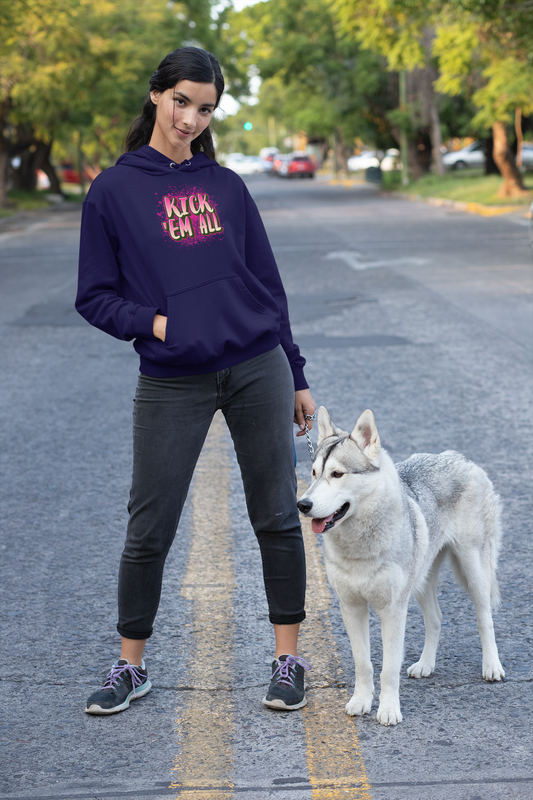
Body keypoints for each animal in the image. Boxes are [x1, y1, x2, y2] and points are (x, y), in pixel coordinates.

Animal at [298, 406, 504, 724]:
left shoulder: (392, 610)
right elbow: (363, 663)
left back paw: (492, 667)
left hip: (473, 572)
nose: (302, 505)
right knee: (436, 618)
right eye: (314, 473)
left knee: (485, 619)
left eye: (337, 474)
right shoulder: (351, 608)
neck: (360, 547)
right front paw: (361, 702)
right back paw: (425, 665)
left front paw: (388, 710)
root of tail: (459, 457)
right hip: (421, 582)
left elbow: (388, 669)